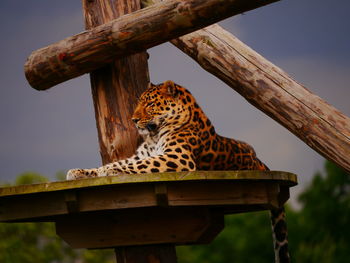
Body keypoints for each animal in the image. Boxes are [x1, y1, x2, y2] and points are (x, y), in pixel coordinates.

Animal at [65, 81, 290, 263]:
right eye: (138, 104)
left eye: (149, 104)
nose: (133, 119)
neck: (154, 134)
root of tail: (259, 161)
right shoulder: (141, 155)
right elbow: (126, 162)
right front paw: (79, 172)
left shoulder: (177, 158)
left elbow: (131, 166)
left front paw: (108, 169)